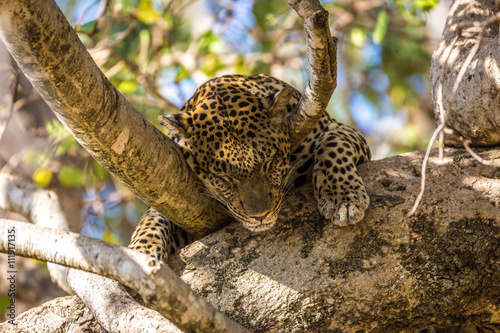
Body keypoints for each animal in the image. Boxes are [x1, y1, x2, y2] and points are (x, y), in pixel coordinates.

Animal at [129, 74, 372, 260]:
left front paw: (343, 198)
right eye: (222, 178)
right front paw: (139, 253)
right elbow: (153, 218)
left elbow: (332, 143)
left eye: (270, 163)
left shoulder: (336, 129)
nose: (260, 216)